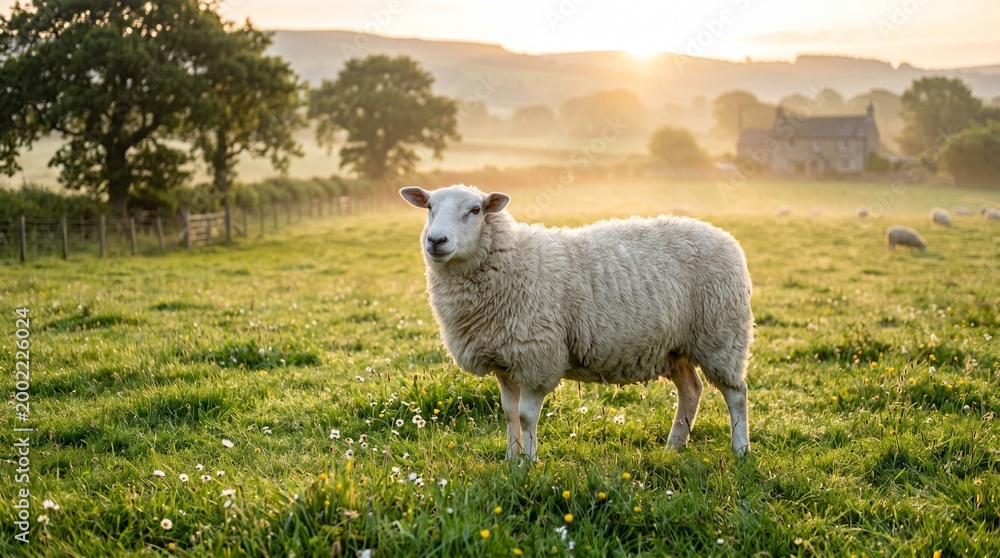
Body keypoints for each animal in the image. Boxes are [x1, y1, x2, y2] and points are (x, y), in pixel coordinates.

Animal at [400, 184, 754, 460]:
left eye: (475, 210)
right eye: (429, 207)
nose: (436, 241)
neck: (512, 260)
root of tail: (723, 235)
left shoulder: (537, 356)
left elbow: (526, 416)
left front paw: (529, 464)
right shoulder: (504, 358)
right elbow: (509, 413)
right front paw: (511, 459)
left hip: (721, 334)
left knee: (736, 393)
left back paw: (740, 449)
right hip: (674, 346)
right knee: (691, 390)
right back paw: (675, 446)